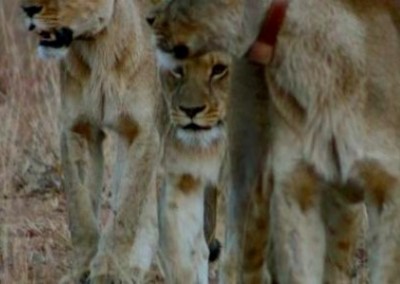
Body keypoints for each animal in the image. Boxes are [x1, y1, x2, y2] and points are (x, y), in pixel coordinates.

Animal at [19, 0, 161, 282]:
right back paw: (136, 266)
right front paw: (81, 269)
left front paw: (107, 270)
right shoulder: (77, 128)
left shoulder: (144, 131)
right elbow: (80, 208)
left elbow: (125, 209)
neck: (99, 51)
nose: (27, 9)